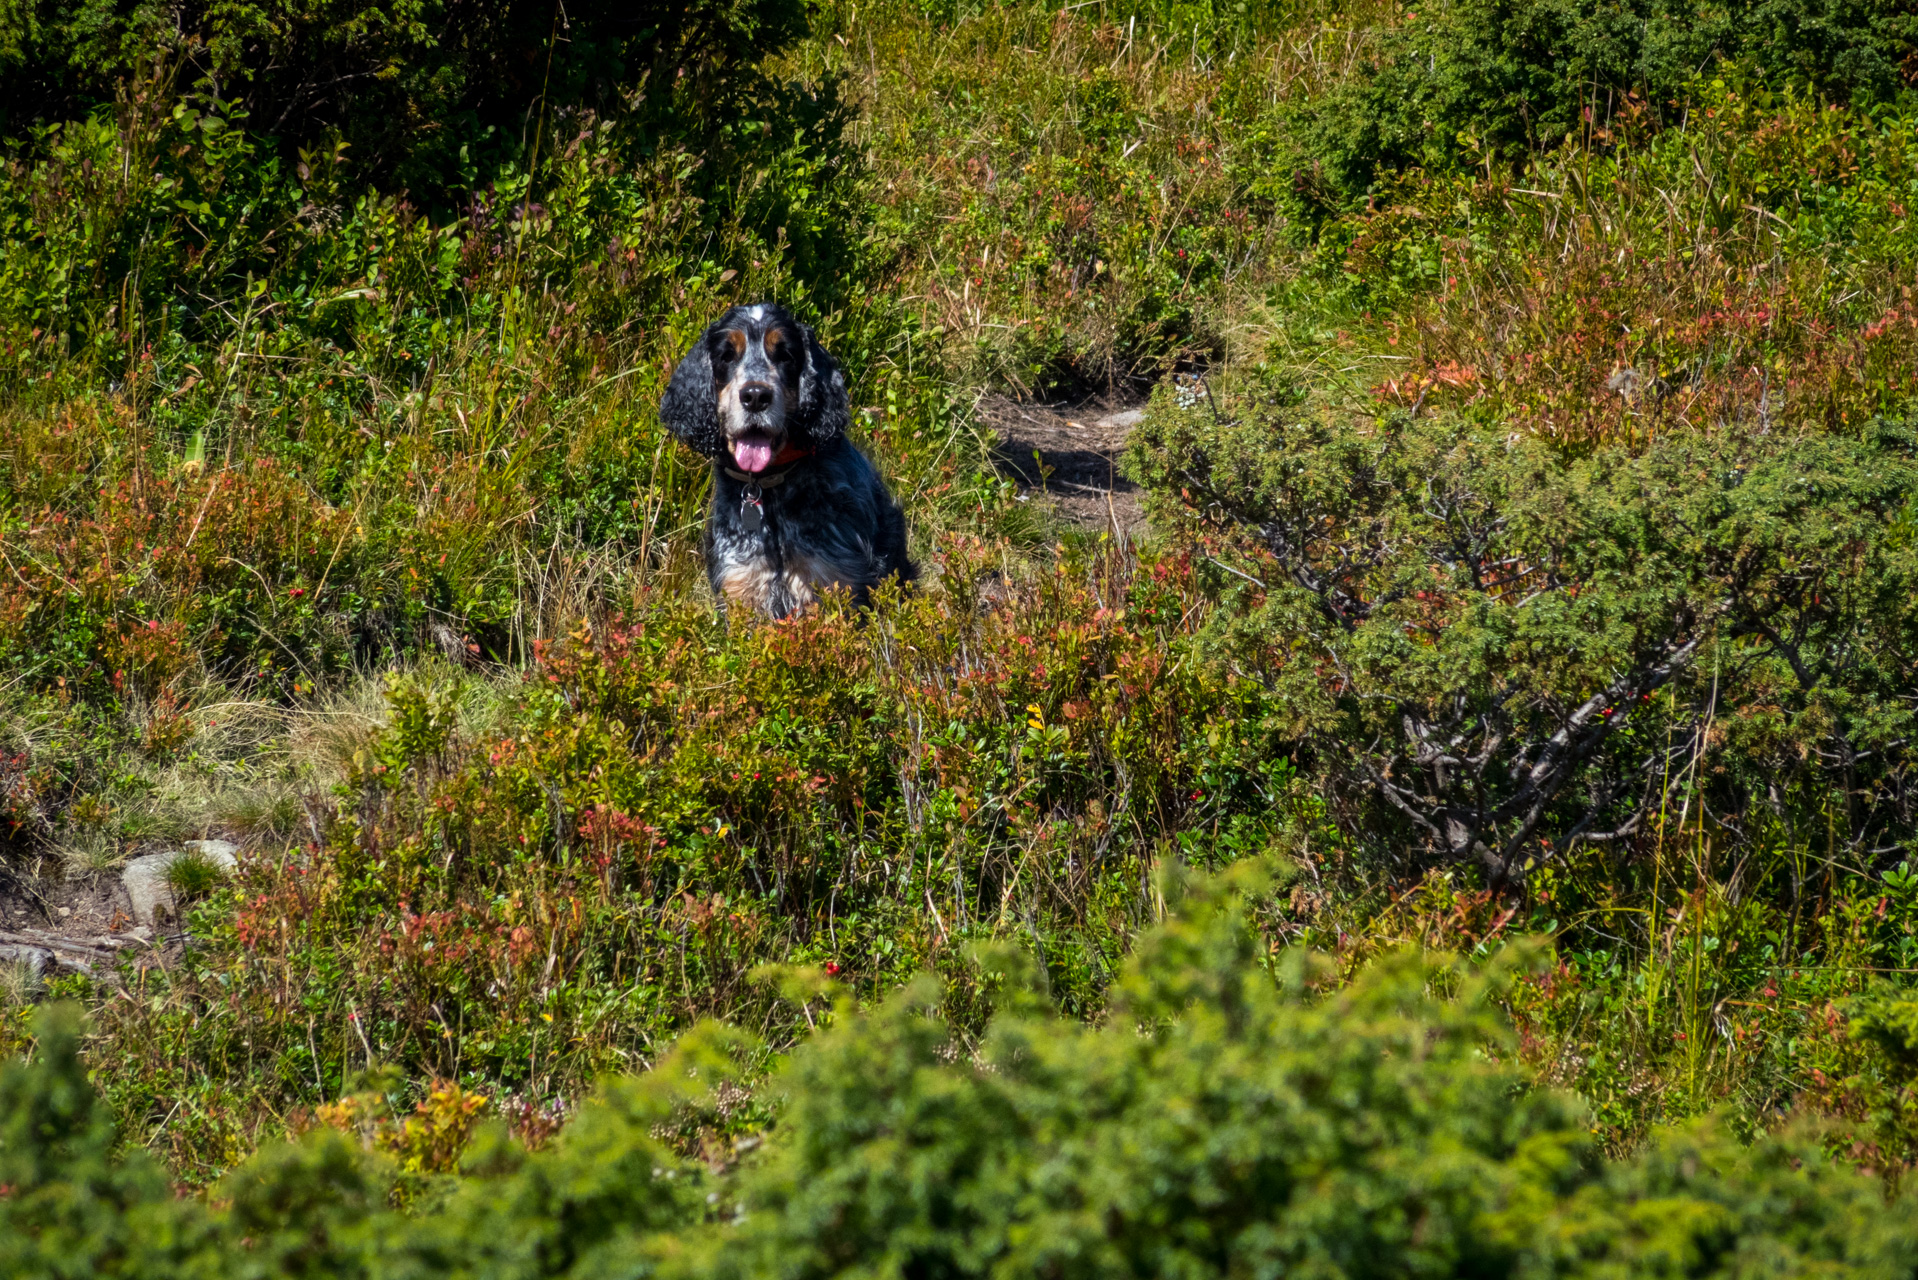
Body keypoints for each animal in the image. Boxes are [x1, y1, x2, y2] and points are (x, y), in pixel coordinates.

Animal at [659, 303, 912, 617]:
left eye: (786, 355)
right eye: (727, 355)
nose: (755, 396)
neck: (770, 488)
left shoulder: (834, 583)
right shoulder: (741, 583)